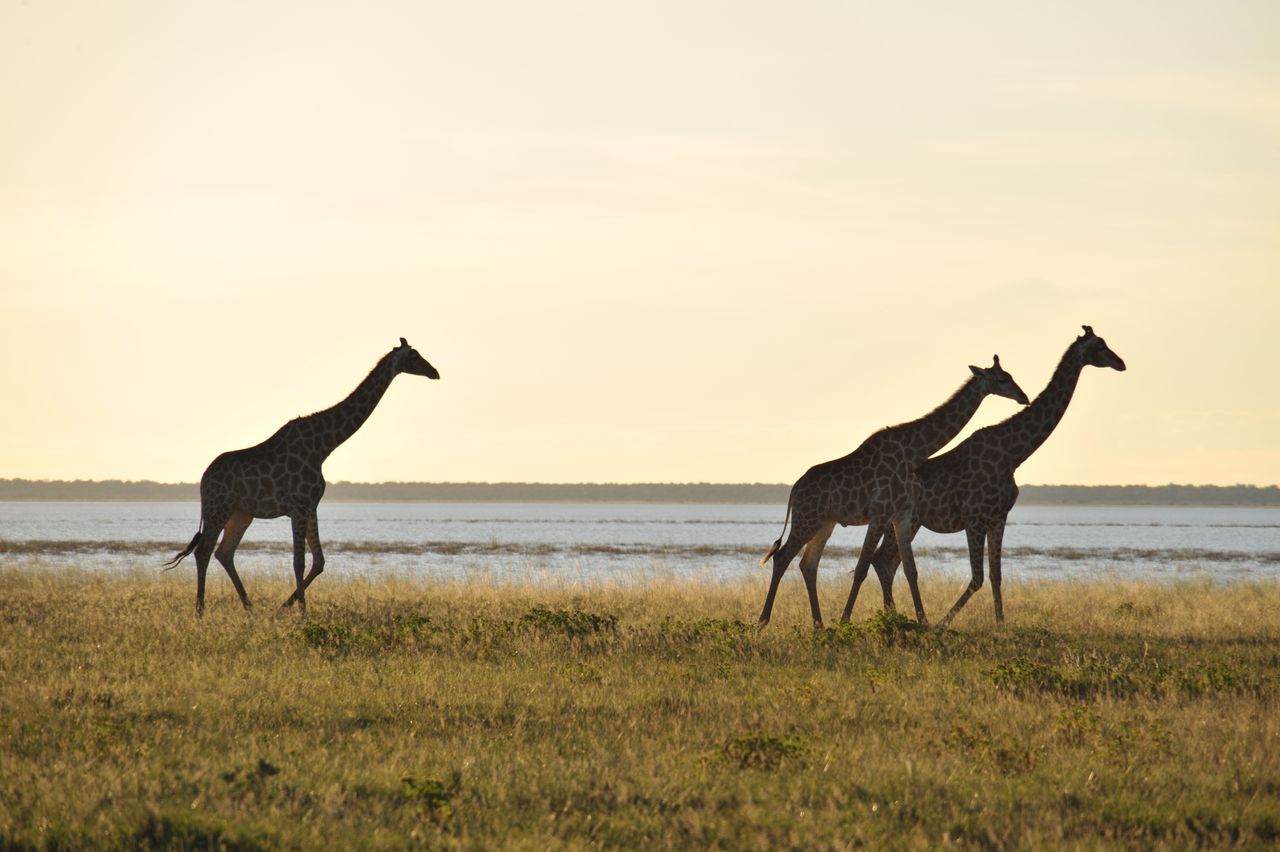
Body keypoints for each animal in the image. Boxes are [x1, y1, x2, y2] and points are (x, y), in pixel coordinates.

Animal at [165, 338, 440, 615]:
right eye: (414, 356)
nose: (435, 372)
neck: (323, 447)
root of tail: (203, 479)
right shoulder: (298, 506)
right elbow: (299, 561)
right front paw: (303, 614)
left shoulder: (310, 506)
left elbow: (318, 561)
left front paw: (284, 608)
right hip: (218, 508)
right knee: (204, 551)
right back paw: (200, 612)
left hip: (241, 513)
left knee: (224, 552)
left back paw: (250, 609)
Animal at [755, 356, 1030, 629]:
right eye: (1002, 379)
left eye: (1011, 375)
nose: (1024, 397)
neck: (914, 452)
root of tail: (794, 490)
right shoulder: (880, 513)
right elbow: (862, 568)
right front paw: (845, 621)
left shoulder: (902, 514)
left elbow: (910, 570)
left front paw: (923, 622)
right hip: (807, 520)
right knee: (782, 557)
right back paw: (763, 621)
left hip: (825, 523)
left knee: (808, 564)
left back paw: (819, 625)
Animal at [851, 326, 1125, 627]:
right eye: (1099, 346)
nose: (1121, 363)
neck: (1013, 454)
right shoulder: (975, 517)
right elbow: (977, 577)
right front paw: (942, 624)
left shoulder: (999, 517)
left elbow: (996, 575)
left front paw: (1001, 624)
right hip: (904, 520)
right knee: (883, 561)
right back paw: (902, 618)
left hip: (905, 522)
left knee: (886, 561)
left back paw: (895, 616)